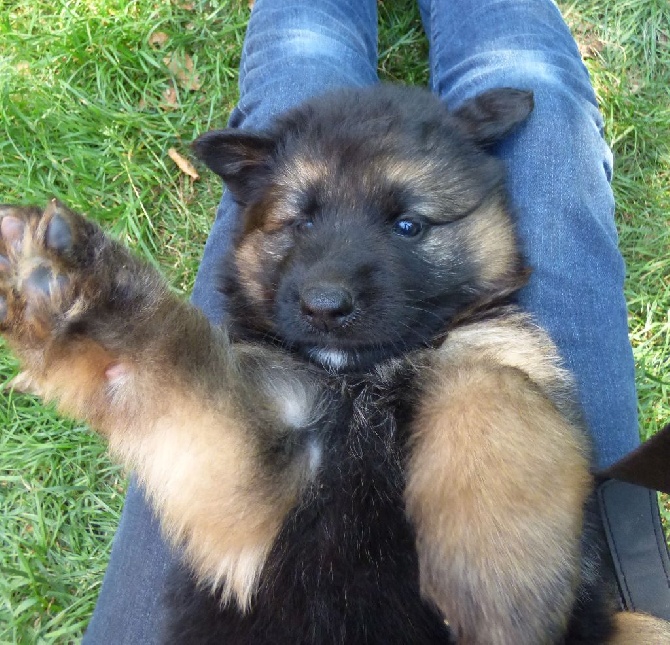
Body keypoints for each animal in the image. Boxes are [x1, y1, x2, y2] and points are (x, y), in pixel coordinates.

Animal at [2, 87, 668, 644]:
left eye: (408, 224)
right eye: (301, 220)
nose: (325, 306)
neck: (361, 380)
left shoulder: (506, 354)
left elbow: (487, 383)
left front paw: (496, 578)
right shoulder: (254, 472)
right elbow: (168, 356)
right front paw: (73, 293)